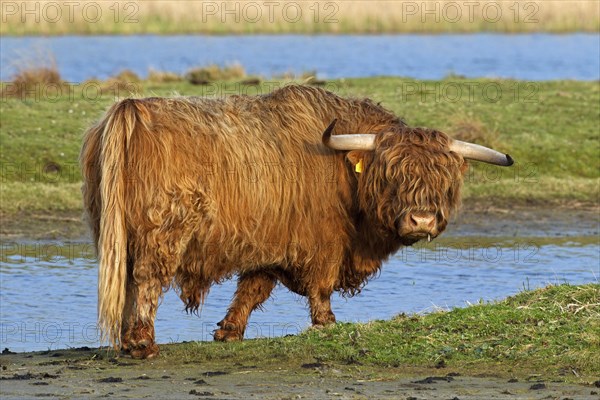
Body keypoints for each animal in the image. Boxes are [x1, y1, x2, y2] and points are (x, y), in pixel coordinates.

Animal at [78, 85, 510, 360]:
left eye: (443, 180)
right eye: (392, 176)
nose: (422, 219)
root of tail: (131, 109)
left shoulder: (270, 241)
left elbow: (253, 288)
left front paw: (229, 331)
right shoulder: (324, 240)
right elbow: (320, 287)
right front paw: (327, 324)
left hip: (117, 232)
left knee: (126, 280)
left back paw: (126, 340)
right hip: (164, 230)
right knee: (146, 281)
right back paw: (142, 344)